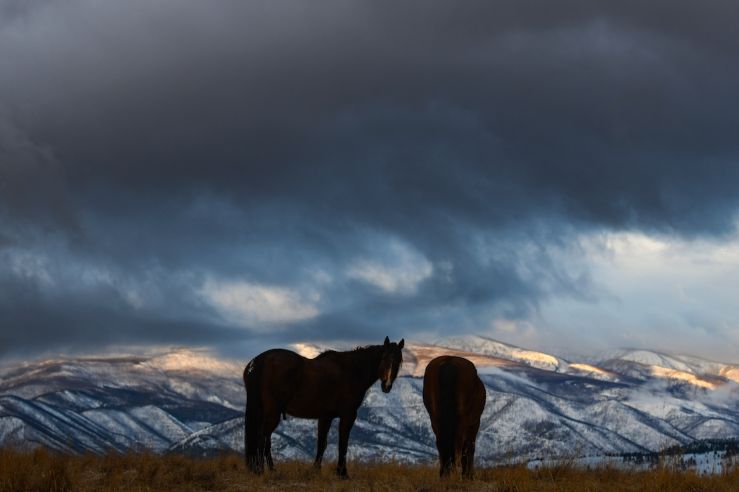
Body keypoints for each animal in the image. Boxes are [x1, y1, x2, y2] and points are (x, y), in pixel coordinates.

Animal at [243, 334, 404, 476]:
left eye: (399, 362)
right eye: (384, 358)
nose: (387, 386)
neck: (352, 371)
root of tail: (258, 361)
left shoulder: (326, 417)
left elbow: (322, 444)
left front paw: (316, 471)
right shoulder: (348, 416)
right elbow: (342, 444)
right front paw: (342, 473)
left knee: (266, 441)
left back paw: (270, 470)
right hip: (273, 412)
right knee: (262, 438)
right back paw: (261, 471)